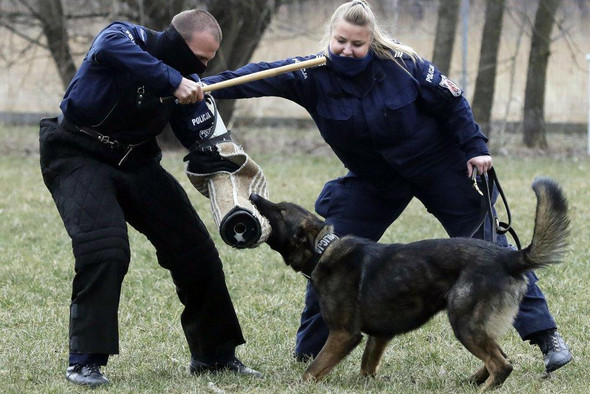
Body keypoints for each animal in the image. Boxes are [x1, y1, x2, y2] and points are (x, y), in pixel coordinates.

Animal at [251, 177, 572, 390]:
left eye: (279, 211)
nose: (254, 198)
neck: (322, 249)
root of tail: (509, 258)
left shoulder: (344, 334)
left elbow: (312, 370)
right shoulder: (380, 334)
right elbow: (367, 367)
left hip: (464, 322)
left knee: (502, 365)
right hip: (476, 326)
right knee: (499, 357)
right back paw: (470, 382)